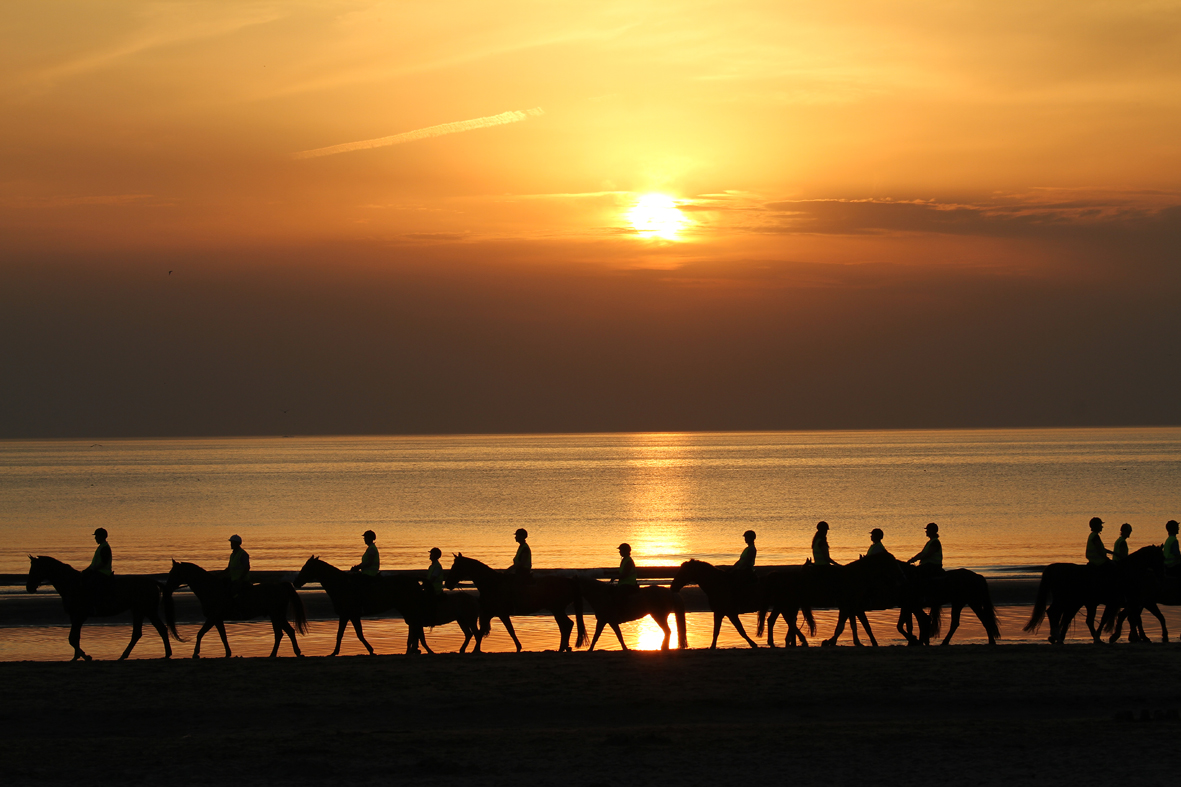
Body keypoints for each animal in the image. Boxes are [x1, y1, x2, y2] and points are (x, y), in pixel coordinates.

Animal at [24, 555, 179, 657]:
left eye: (34, 569)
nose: (29, 587)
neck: (72, 584)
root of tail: (152, 582)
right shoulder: (74, 616)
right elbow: (75, 638)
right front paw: (76, 657)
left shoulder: (80, 615)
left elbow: (72, 638)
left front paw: (86, 656)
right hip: (140, 611)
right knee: (144, 632)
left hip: (147, 610)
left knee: (156, 630)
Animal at [162, 557, 307, 657]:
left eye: (174, 573)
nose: (166, 588)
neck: (211, 589)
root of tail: (281, 585)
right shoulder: (217, 619)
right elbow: (223, 636)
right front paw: (228, 653)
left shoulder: (212, 617)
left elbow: (200, 633)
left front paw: (195, 653)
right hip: (276, 615)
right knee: (285, 633)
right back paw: (286, 653)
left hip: (276, 615)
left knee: (283, 633)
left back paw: (283, 653)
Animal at [292, 550, 481, 657]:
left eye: (307, 567)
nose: (296, 582)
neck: (342, 586)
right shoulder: (350, 615)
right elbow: (349, 634)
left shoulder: (348, 614)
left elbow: (350, 634)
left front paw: (365, 650)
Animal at [444, 550, 588, 647]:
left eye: (455, 567)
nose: (448, 584)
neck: (493, 584)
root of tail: (569, 581)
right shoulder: (491, 613)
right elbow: (487, 631)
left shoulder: (498, 613)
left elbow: (504, 630)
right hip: (557, 610)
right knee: (566, 625)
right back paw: (564, 647)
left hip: (557, 609)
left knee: (566, 625)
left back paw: (563, 647)